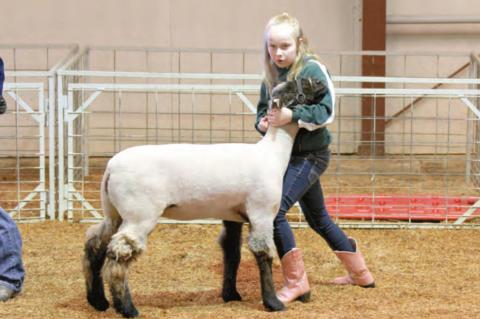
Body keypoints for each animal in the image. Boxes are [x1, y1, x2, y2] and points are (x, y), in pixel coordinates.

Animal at [83, 77, 326, 318]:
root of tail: (111, 167)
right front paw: (273, 303)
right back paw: (127, 308)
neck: (272, 153)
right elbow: (263, 254)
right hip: (139, 214)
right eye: (297, 85)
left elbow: (232, 254)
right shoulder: (262, 213)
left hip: (114, 213)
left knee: (95, 245)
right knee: (119, 254)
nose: (320, 82)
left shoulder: (233, 216)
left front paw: (230, 295)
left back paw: (98, 301)